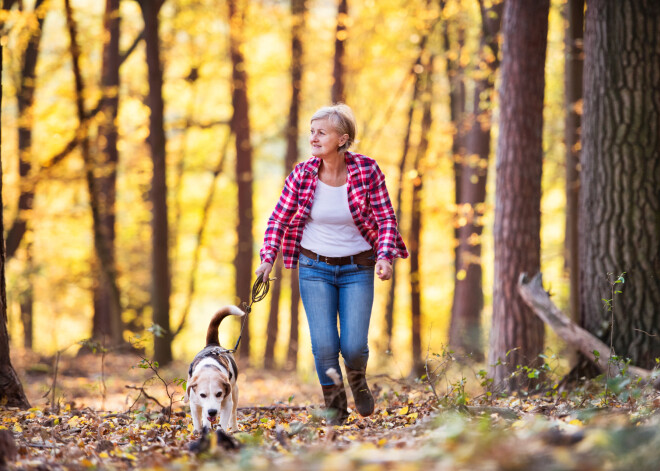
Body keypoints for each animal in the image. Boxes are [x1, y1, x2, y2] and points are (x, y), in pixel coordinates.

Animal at [184, 306, 244, 436]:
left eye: (219, 394)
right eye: (202, 395)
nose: (212, 411)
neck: (208, 368)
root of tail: (213, 344)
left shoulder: (227, 403)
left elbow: (223, 422)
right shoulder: (194, 403)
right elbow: (197, 420)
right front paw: (199, 432)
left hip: (235, 392)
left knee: (233, 413)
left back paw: (234, 428)